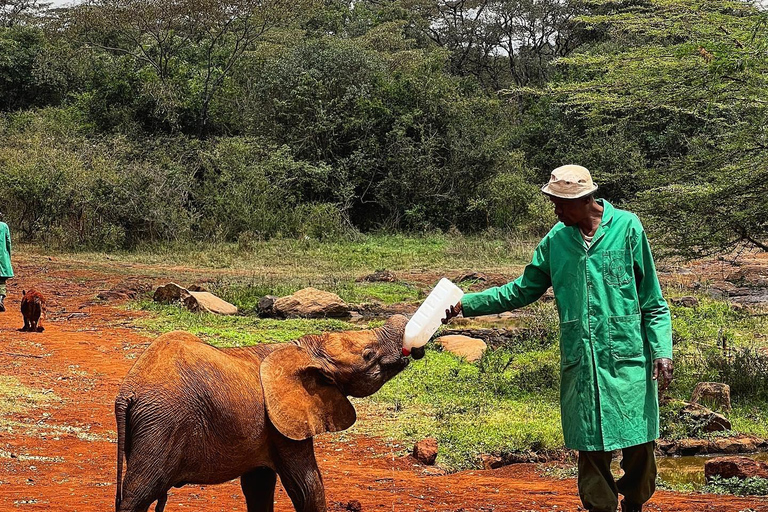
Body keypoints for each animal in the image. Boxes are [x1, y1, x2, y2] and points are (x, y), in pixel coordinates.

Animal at [114, 314, 414, 512]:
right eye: (368, 355)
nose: (413, 346)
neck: (303, 348)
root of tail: (128, 392)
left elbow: (259, 486)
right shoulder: (283, 425)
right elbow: (306, 486)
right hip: (161, 423)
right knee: (139, 493)